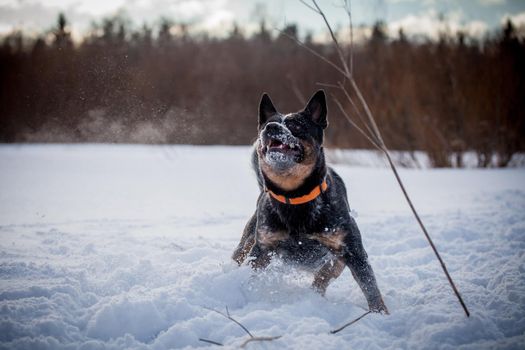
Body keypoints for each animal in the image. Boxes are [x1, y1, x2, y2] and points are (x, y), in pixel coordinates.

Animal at [231, 90, 386, 314]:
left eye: (295, 125)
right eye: (266, 124)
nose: (270, 127)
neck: (295, 197)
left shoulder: (352, 251)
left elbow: (370, 288)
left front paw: (380, 314)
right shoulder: (263, 248)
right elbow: (251, 275)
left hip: (335, 261)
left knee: (321, 278)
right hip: (248, 239)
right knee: (238, 255)